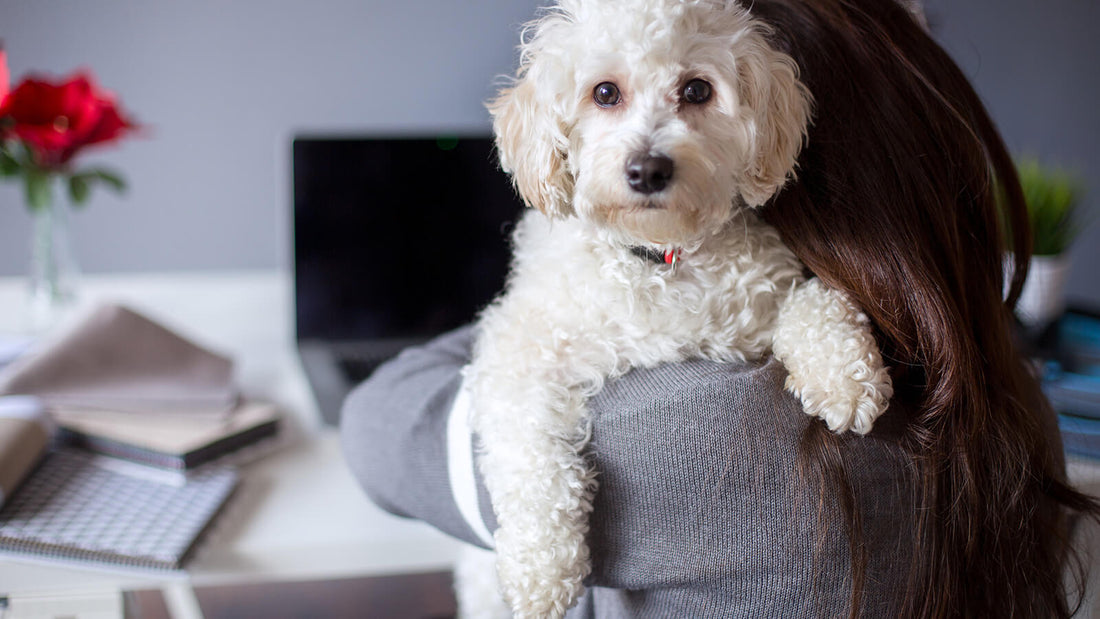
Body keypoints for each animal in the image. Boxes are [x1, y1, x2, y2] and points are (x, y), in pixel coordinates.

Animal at [455, 2, 893, 615]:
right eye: (605, 92)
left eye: (696, 90)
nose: (648, 169)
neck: (657, 257)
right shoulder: (516, 353)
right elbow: (531, 462)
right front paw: (540, 570)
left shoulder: (764, 297)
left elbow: (817, 299)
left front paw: (844, 378)